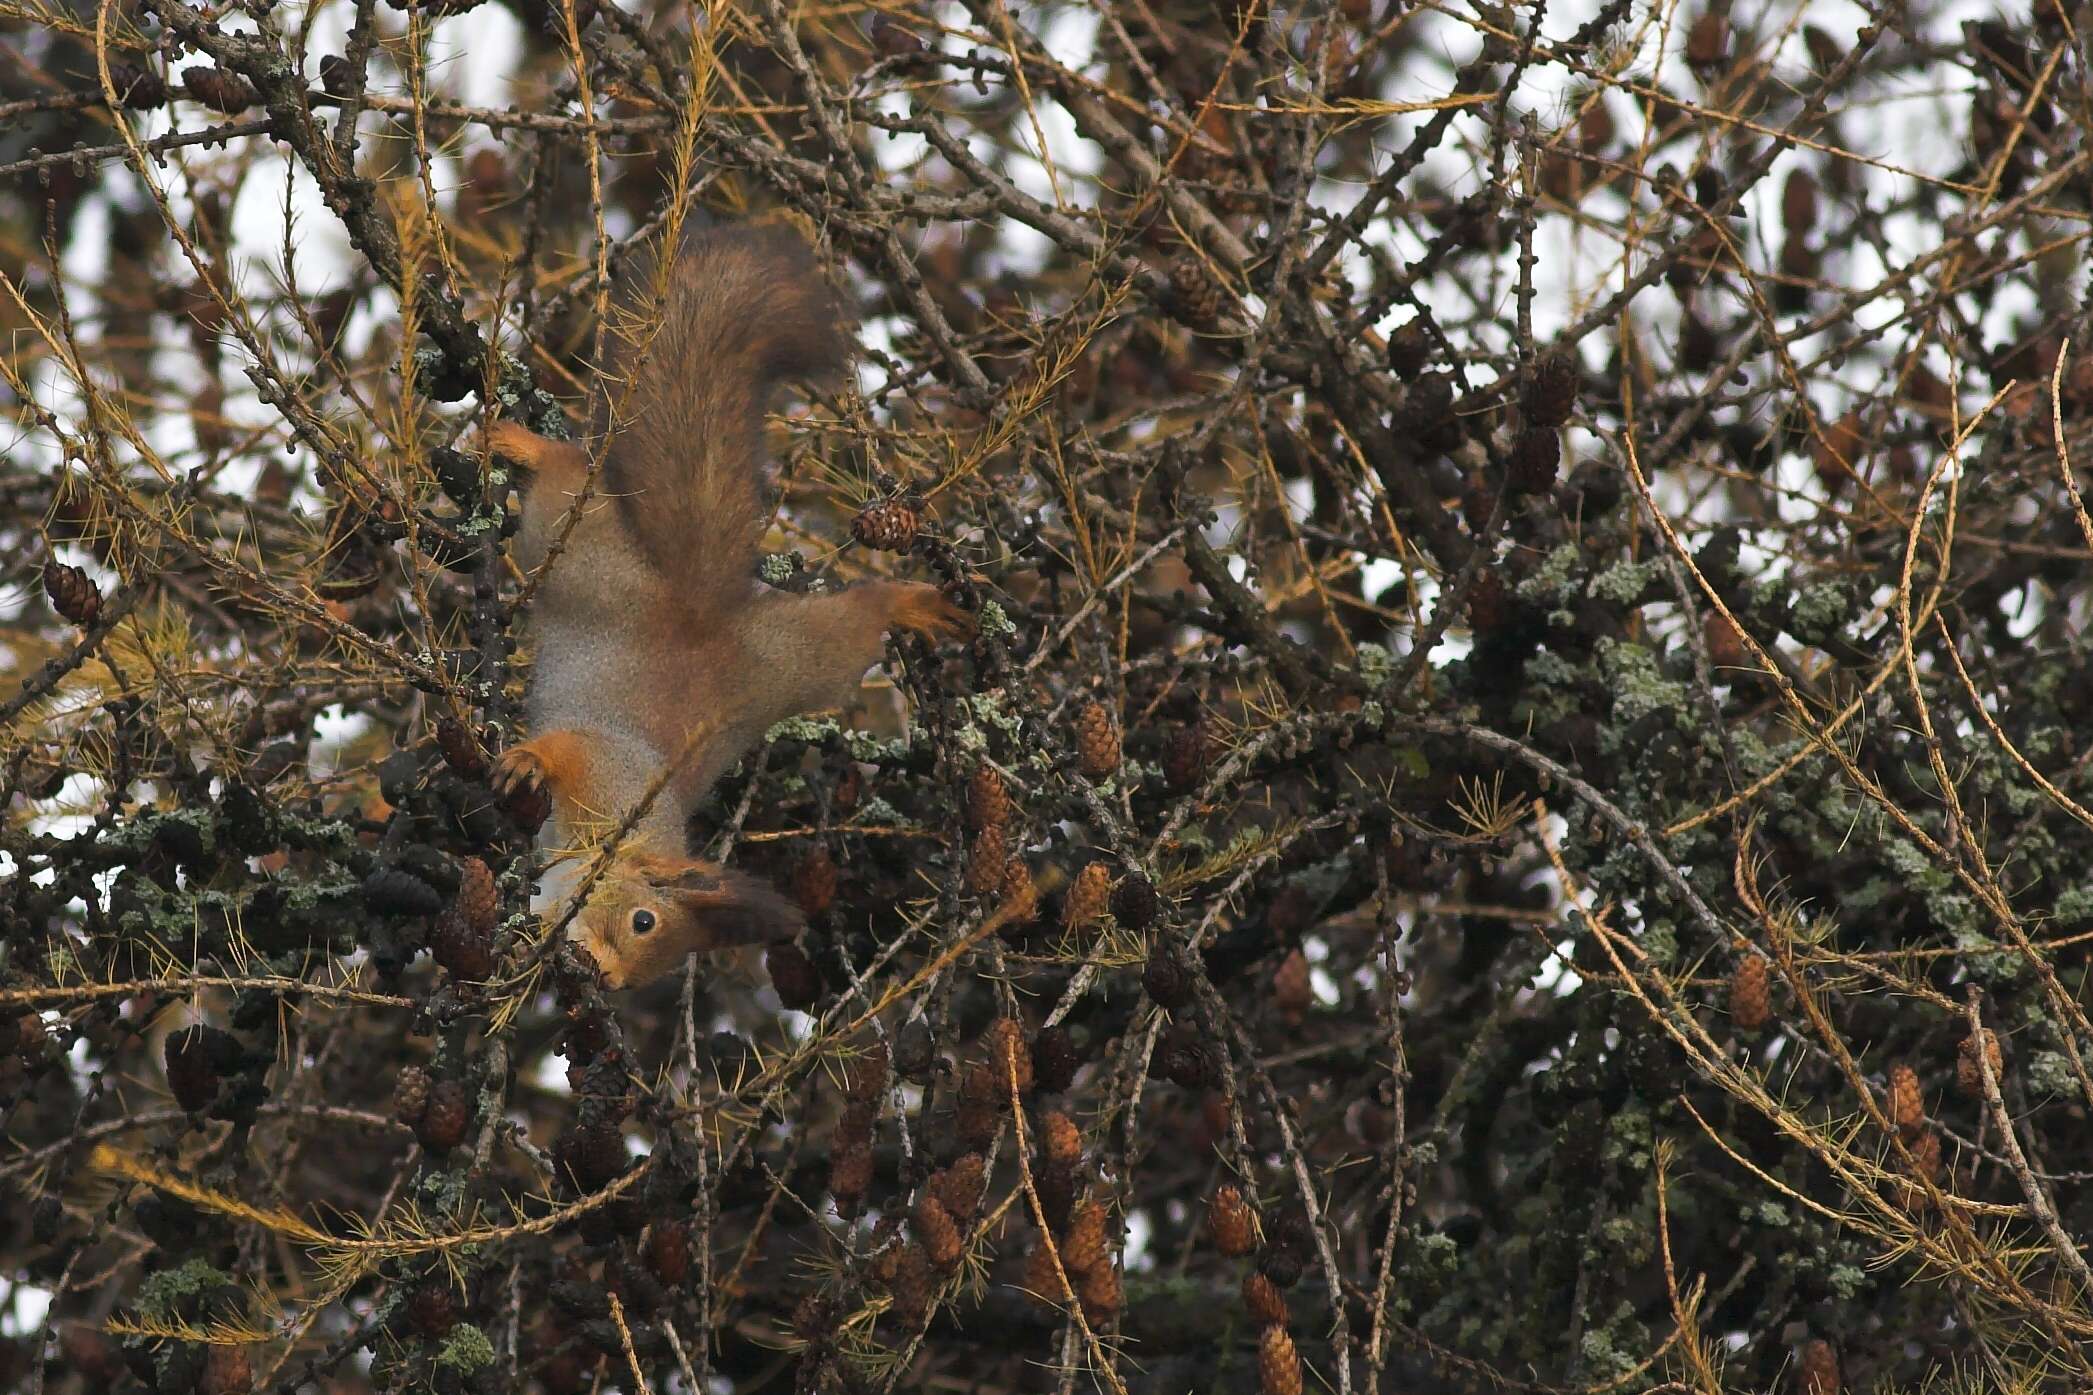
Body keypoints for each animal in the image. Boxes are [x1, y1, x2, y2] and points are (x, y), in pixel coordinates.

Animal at [483, 223, 971, 991]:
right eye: (644, 921)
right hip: (581, 554)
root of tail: (695, 607)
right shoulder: (610, 769)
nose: (605, 979)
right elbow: (569, 747)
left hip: (795, 663)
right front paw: (529, 760)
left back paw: (909, 603)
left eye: (655, 968)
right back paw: (519, 442)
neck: (631, 836)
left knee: (857, 621)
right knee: (565, 474)